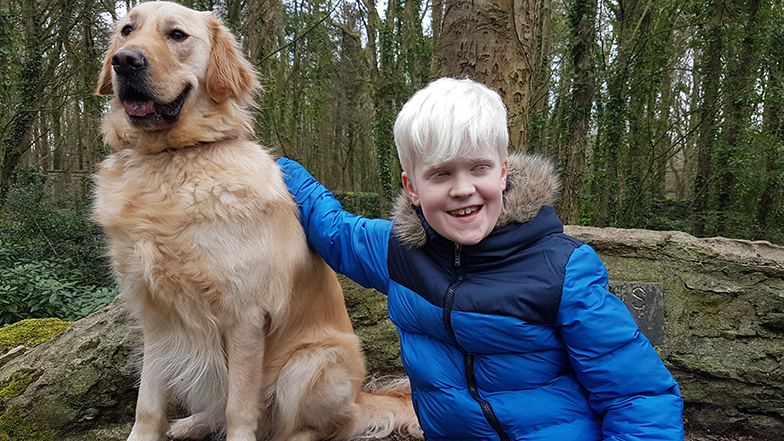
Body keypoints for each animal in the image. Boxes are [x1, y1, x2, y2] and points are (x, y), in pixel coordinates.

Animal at [92, 1, 422, 438]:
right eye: (126, 31)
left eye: (177, 35)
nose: (124, 61)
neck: (171, 159)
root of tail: (360, 396)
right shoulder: (156, 317)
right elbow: (147, 402)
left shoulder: (244, 315)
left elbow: (239, 407)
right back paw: (192, 423)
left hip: (313, 362)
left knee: (323, 425)